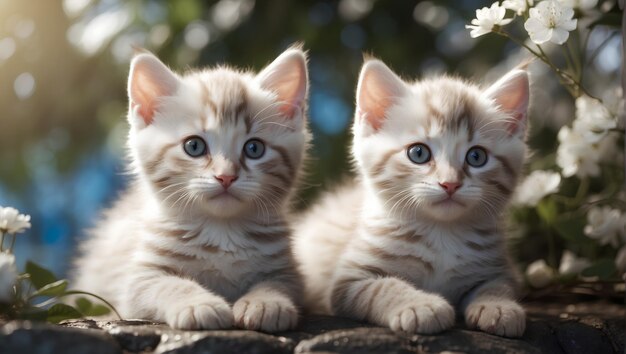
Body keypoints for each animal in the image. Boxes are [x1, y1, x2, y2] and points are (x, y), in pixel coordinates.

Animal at [72, 47, 310, 332]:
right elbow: (168, 284)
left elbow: (279, 283)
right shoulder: (137, 280)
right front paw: (199, 305)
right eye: (194, 146)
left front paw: (266, 303)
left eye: (254, 148)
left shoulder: (289, 271)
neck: (222, 231)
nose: (226, 176)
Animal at [294, 58, 528, 338]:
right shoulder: (347, 282)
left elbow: (499, 286)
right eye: (418, 153)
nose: (450, 183)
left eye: (476, 157)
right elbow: (383, 287)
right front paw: (420, 306)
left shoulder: (499, 268)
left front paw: (499, 306)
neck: (441, 234)